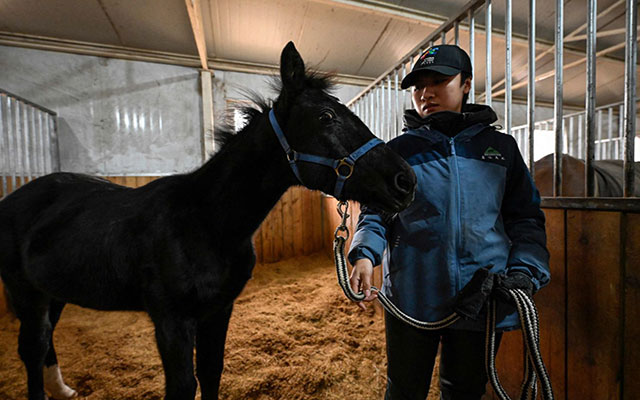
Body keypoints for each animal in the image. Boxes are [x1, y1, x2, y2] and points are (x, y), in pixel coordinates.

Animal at [0, 43, 418, 400]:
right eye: (326, 116)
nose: (406, 180)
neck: (207, 223)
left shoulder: (219, 310)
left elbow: (212, 373)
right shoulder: (172, 323)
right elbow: (184, 386)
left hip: (52, 292)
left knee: (46, 341)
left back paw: (62, 389)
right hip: (26, 292)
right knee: (32, 349)